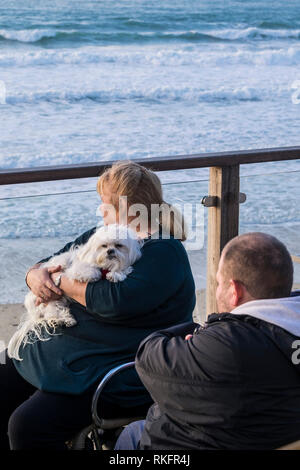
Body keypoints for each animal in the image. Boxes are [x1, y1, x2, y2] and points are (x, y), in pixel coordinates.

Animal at [7, 224, 143, 360]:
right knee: (50, 313)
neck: (105, 265)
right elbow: (90, 271)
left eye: (119, 245)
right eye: (104, 246)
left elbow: (122, 268)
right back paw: (60, 320)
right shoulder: (76, 270)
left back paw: (64, 320)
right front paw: (96, 274)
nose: (110, 251)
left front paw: (116, 274)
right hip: (49, 300)